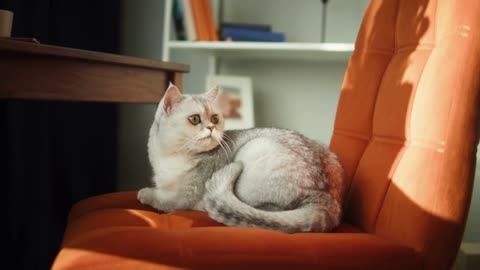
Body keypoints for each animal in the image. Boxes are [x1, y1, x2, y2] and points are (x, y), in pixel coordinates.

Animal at [137, 82, 346, 232]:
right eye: (194, 119)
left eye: (214, 118)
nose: (211, 127)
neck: (171, 157)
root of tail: (326, 201)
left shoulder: (181, 196)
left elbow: (160, 198)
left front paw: (145, 193)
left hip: (255, 148)